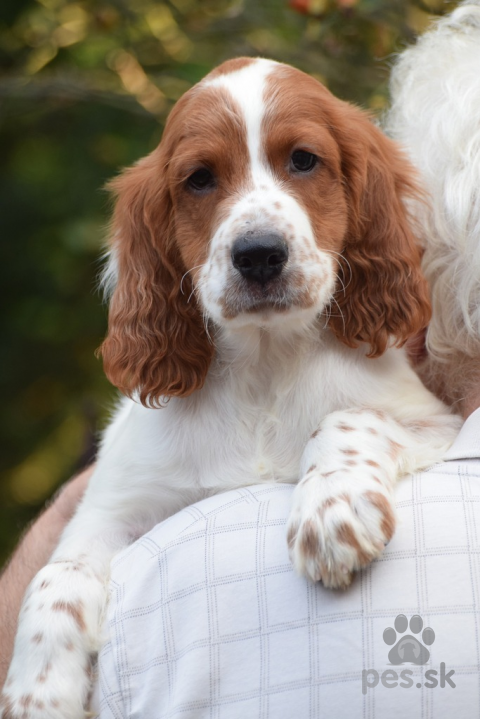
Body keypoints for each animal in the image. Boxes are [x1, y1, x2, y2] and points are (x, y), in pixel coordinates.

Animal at [0, 57, 462, 719]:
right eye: (199, 179)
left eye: (304, 160)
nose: (260, 254)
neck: (264, 367)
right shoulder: (112, 508)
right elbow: (54, 575)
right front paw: (39, 691)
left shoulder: (436, 421)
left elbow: (349, 418)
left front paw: (333, 511)